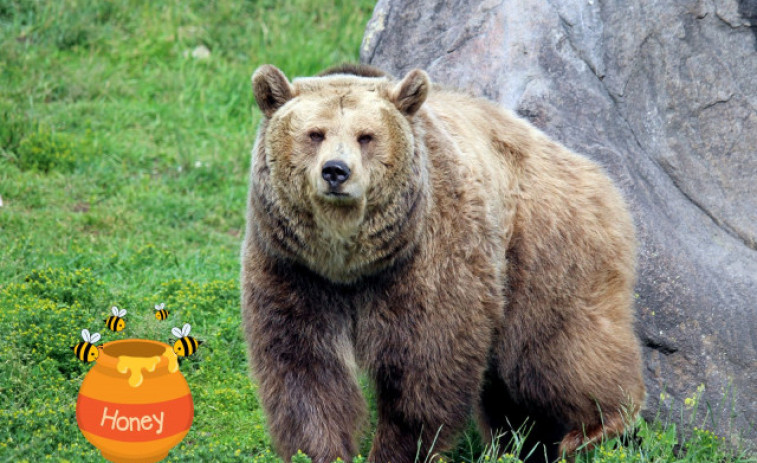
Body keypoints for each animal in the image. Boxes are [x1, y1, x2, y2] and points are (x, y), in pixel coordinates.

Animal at [242, 62, 644, 463]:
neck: (350, 263)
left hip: (545, 247)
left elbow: (426, 363)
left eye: (366, 136)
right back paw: (524, 444)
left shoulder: (428, 257)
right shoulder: (293, 268)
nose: (336, 171)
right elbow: (304, 367)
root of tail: (593, 171)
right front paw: (320, 450)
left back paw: (597, 428)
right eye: (315, 134)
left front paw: (399, 450)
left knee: (553, 353)